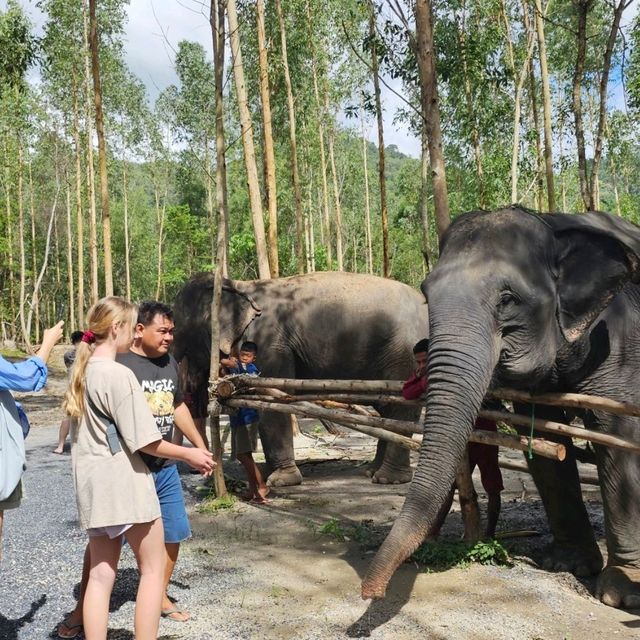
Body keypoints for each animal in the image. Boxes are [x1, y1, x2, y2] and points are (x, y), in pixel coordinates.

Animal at [172, 270, 428, 484]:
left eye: (178, 331)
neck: (237, 285)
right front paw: (267, 474)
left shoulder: (269, 345)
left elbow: (272, 402)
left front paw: (280, 481)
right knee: (386, 410)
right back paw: (371, 471)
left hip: (404, 355)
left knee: (400, 408)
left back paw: (387, 478)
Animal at [362, 206, 640, 608]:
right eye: (427, 294)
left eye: (507, 299)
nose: (371, 592)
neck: (551, 224)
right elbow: (543, 440)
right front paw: (565, 564)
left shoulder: (620, 342)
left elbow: (618, 436)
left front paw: (621, 595)